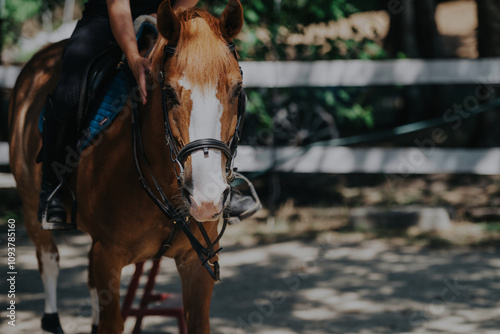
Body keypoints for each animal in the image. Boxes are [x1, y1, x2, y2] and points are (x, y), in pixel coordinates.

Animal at [10, 1, 245, 332]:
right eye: (169, 92)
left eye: (237, 89)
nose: (206, 198)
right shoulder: (109, 257)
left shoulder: (197, 265)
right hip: (32, 206)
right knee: (50, 260)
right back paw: (52, 319)